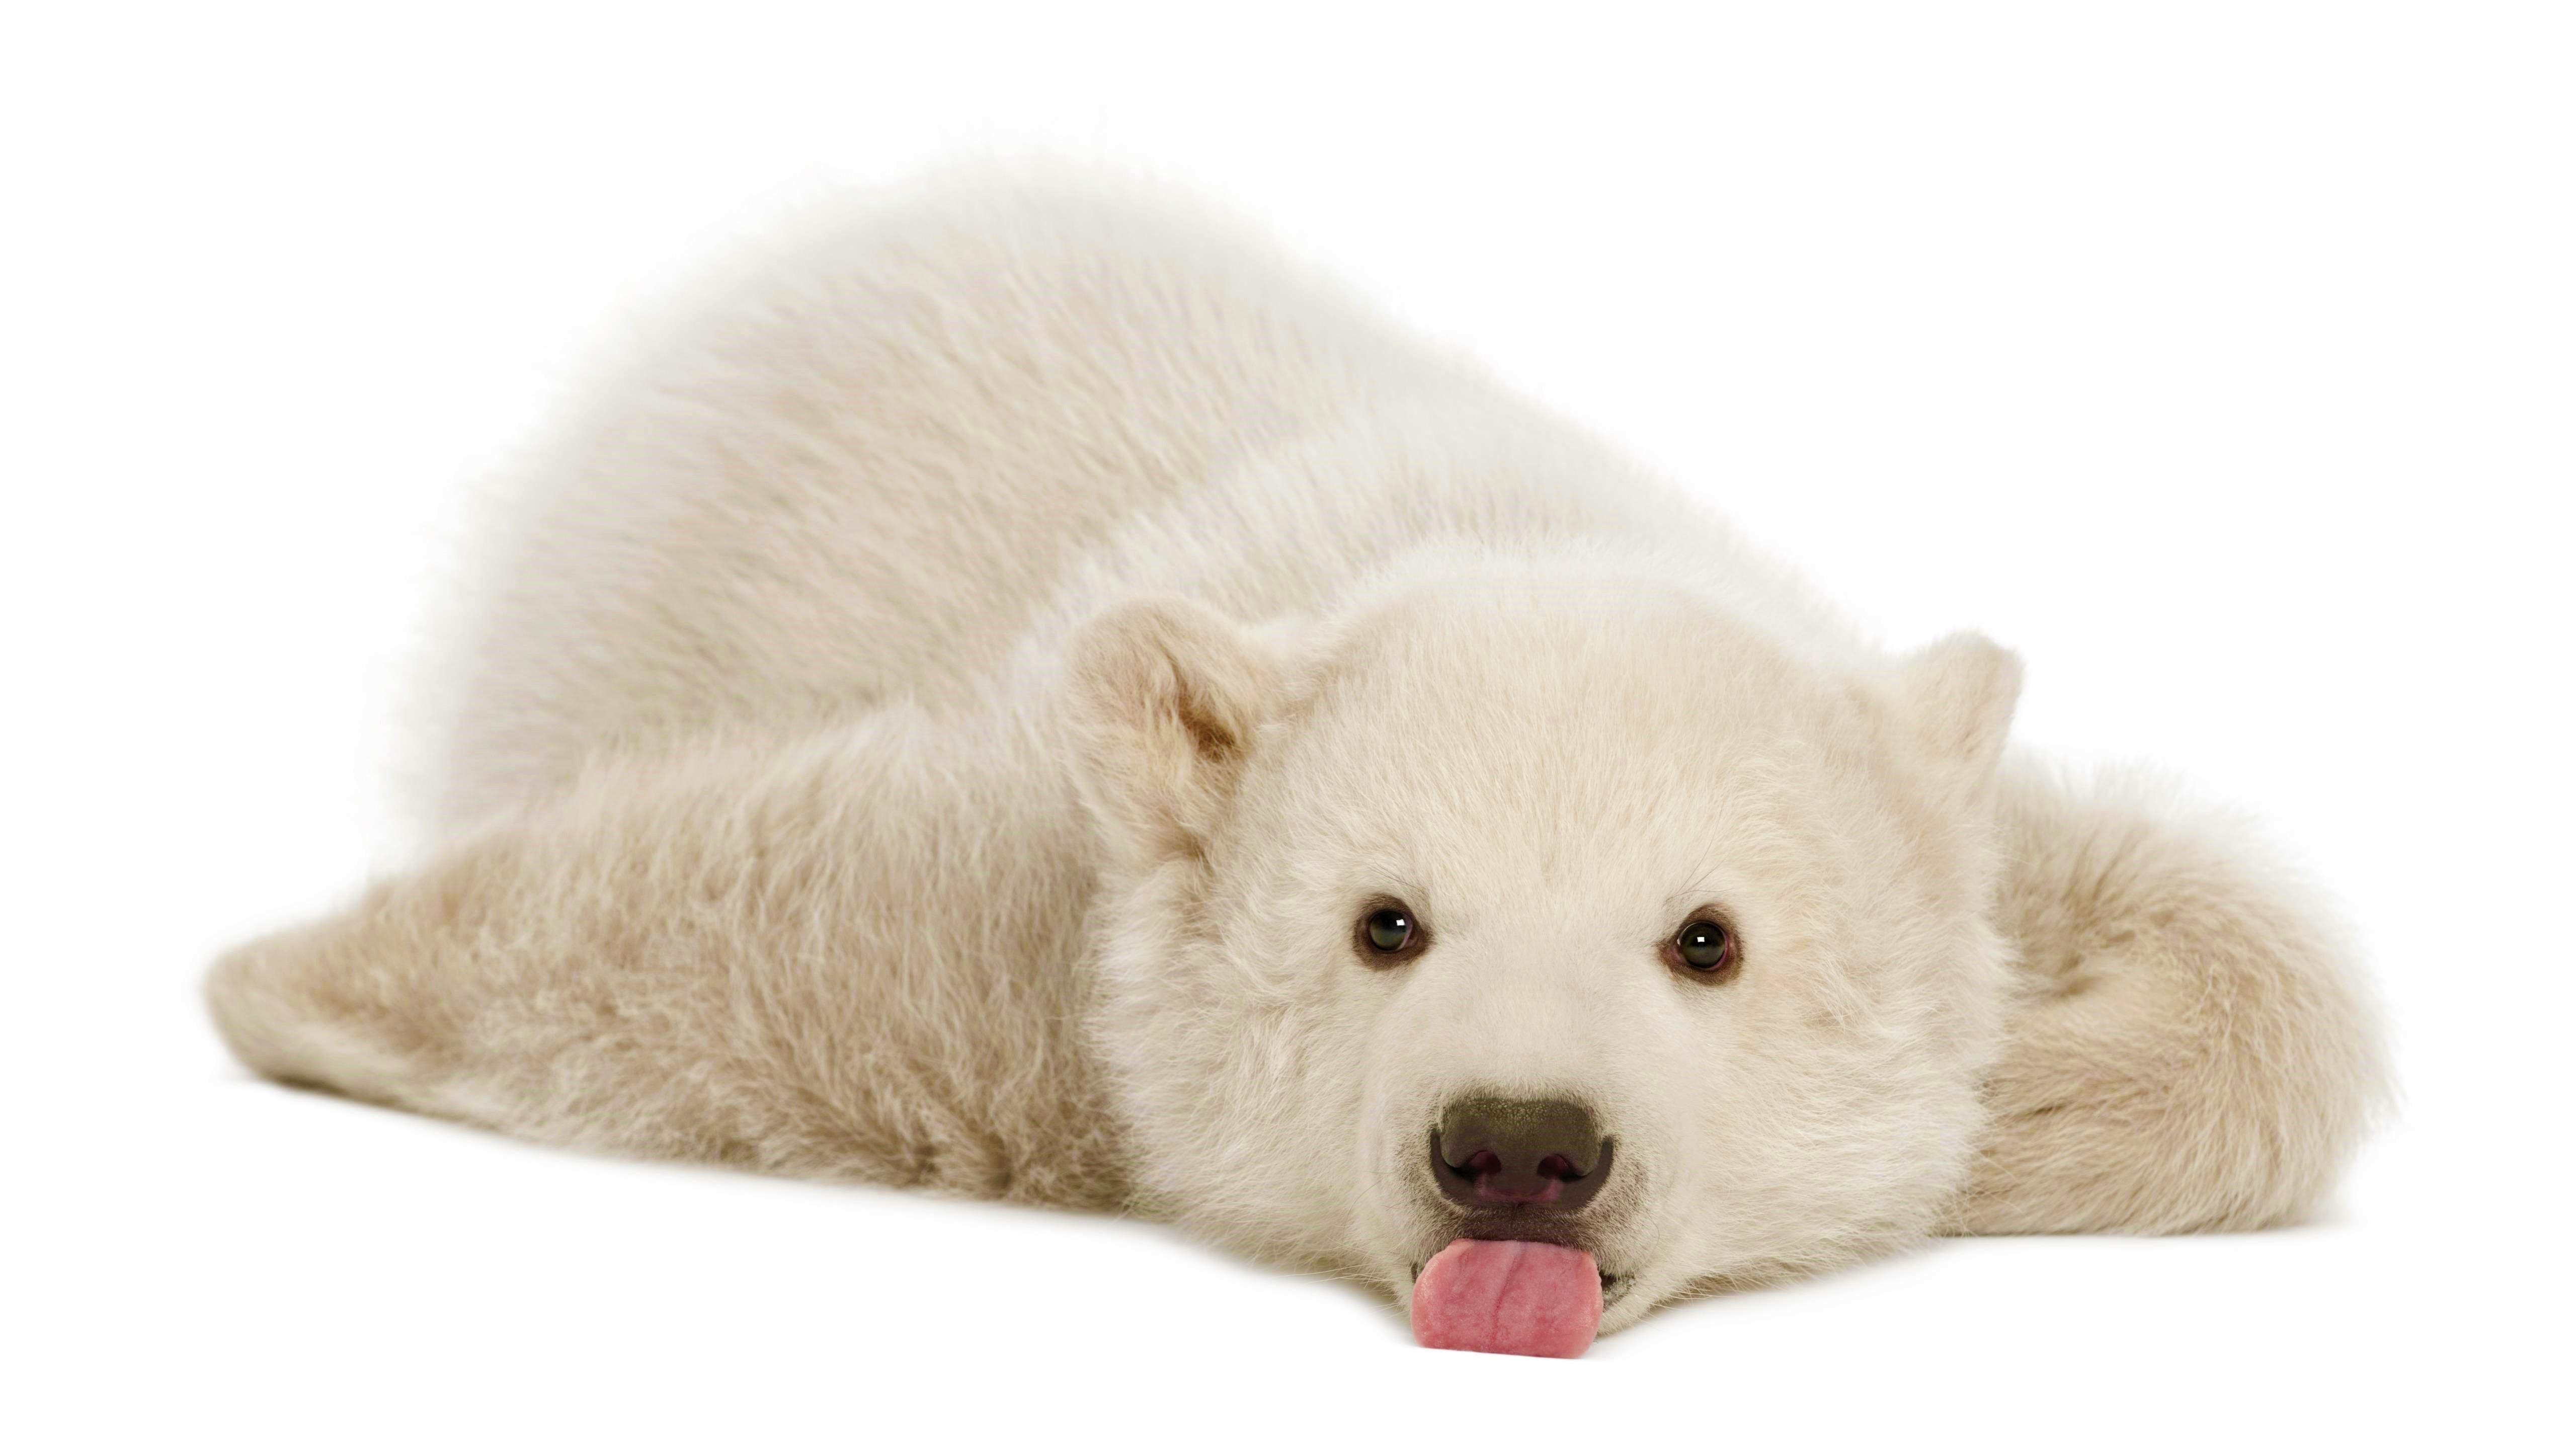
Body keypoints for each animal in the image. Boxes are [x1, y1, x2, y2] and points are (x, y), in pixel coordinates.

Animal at [205, 166, 2387, 1353]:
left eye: (1709, 939)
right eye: (1382, 923)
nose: (1521, 1147)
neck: (1491, 533)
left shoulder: (1893, 739)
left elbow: (2221, 953)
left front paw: (2012, 1100)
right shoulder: (1038, 925)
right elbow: (752, 929)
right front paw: (283, 980)